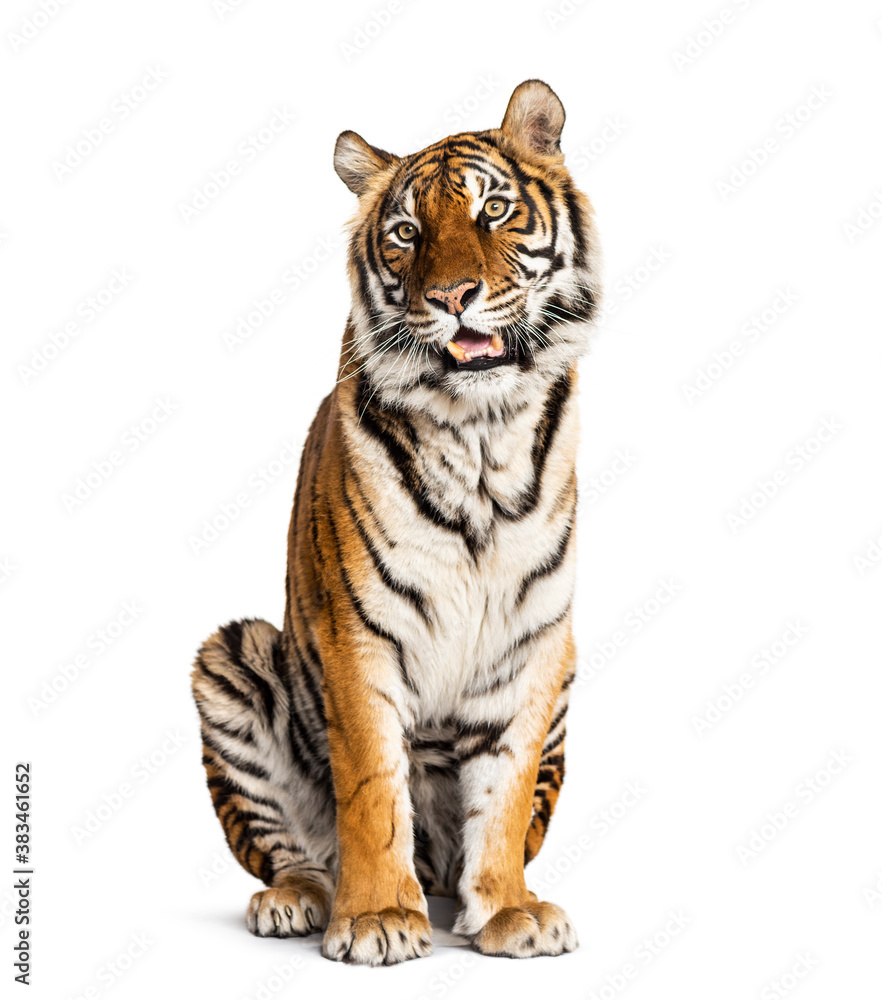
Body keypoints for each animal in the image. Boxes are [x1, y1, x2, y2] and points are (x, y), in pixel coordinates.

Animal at [191, 79, 601, 965]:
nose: (451, 298)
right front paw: (378, 916)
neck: (483, 435)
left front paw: (511, 910)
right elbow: (374, 785)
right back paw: (298, 902)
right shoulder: (358, 635)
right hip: (232, 656)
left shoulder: (532, 644)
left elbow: (505, 792)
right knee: (293, 851)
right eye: (407, 234)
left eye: (493, 210)